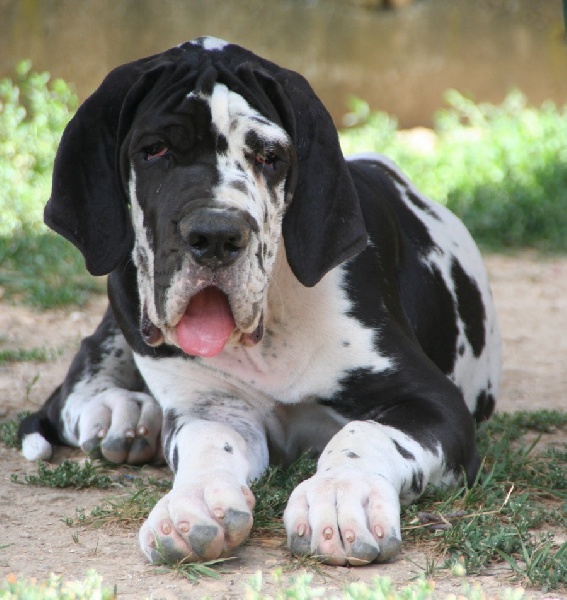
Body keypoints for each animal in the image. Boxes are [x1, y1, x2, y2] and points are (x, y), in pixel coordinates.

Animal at [19, 37, 501, 566]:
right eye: (154, 150)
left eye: (270, 156)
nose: (215, 235)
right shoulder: (215, 409)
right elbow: (207, 446)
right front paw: (194, 501)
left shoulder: (433, 402)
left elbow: (363, 433)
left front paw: (339, 495)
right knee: (85, 364)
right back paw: (118, 409)